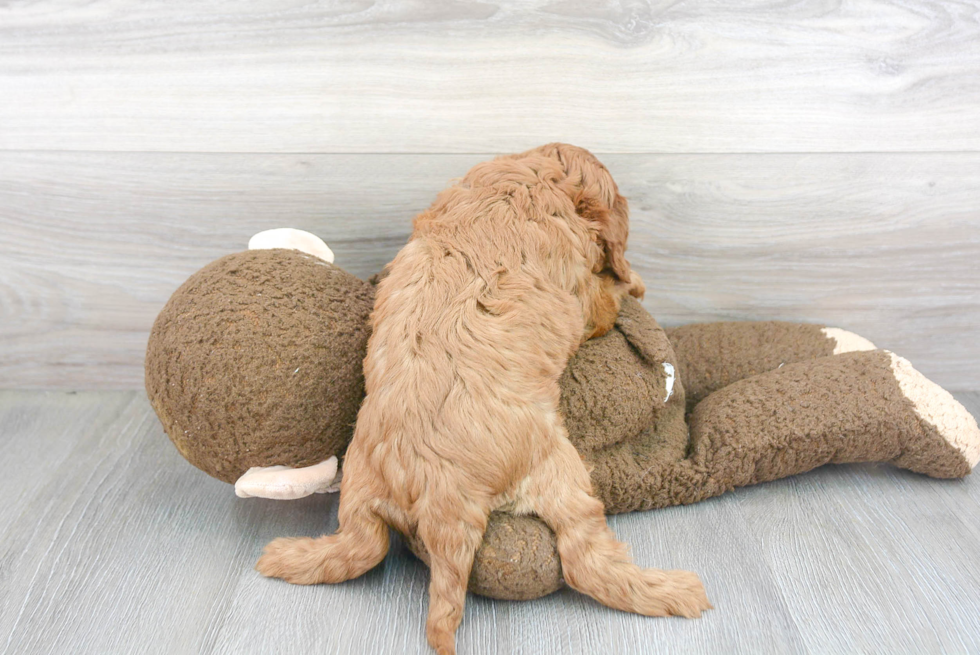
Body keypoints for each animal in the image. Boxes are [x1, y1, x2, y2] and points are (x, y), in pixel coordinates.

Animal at [256, 145, 708, 655]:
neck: (529, 177)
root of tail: (438, 498)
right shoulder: (582, 293)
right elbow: (604, 298)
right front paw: (631, 285)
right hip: (560, 471)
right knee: (586, 561)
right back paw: (673, 590)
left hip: (358, 485)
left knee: (361, 546)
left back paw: (285, 554)